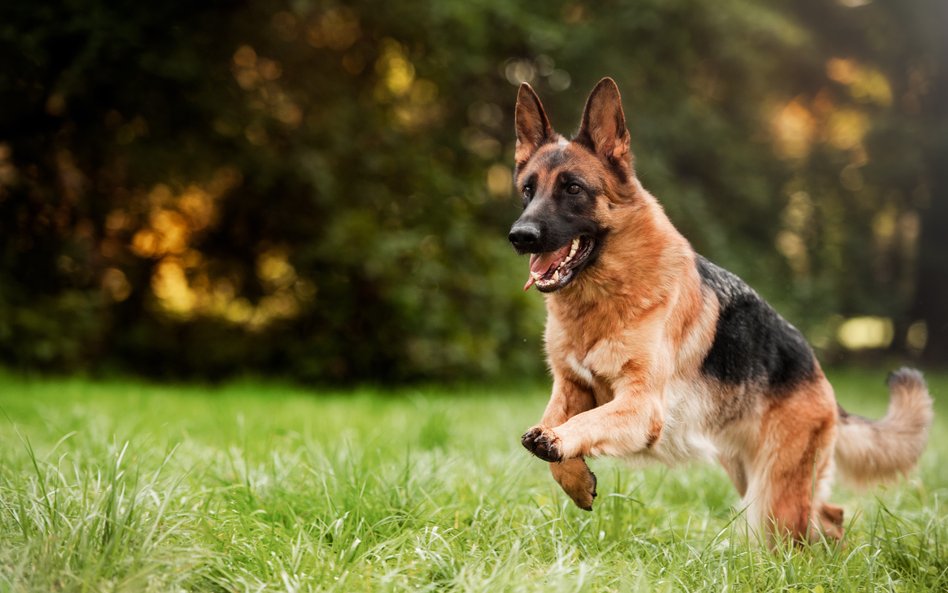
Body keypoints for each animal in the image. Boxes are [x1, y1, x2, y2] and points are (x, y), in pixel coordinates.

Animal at [512, 77, 932, 540]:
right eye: (528, 190)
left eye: (572, 188)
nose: (520, 236)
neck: (602, 300)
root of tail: (820, 375)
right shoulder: (571, 387)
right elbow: (552, 422)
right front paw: (573, 476)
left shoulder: (641, 406)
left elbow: (582, 425)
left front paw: (559, 444)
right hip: (752, 475)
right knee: (829, 513)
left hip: (772, 497)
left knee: (807, 525)